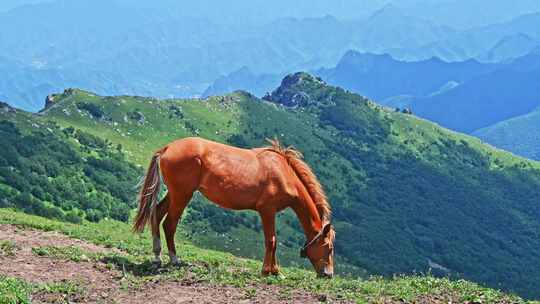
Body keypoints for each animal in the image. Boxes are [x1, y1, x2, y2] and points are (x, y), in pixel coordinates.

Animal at [132, 138, 334, 278]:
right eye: (329, 248)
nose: (328, 274)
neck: (283, 172)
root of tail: (167, 148)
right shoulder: (267, 210)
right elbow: (271, 241)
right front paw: (269, 271)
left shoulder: (271, 212)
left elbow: (273, 241)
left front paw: (275, 271)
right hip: (182, 195)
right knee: (169, 224)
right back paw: (174, 259)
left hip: (175, 194)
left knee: (157, 214)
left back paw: (157, 257)